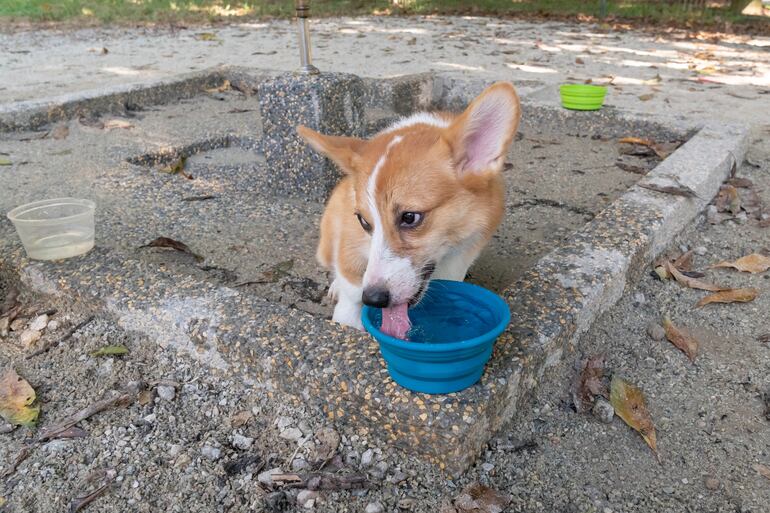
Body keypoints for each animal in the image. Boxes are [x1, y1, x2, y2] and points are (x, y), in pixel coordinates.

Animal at [296, 82, 520, 338]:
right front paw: (347, 320)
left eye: (410, 217)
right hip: (325, 245)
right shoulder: (351, 242)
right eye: (363, 221)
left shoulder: (462, 254)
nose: (373, 299)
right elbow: (351, 288)